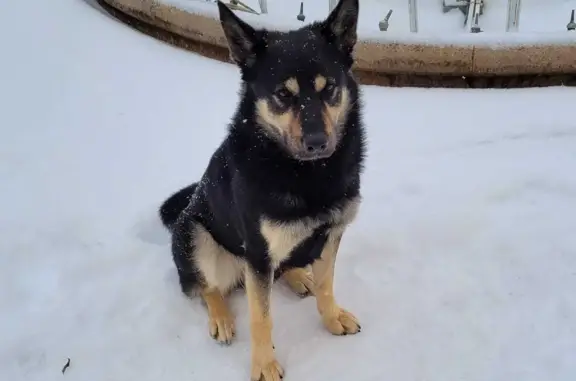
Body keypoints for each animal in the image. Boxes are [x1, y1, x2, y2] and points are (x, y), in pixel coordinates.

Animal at [159, 0, 364, 378]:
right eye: (283, 94)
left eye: (328, 88)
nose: (317, 142)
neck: (308, 174)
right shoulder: (257, 253)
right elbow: (261, 318)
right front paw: (264, 364)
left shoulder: (331, 233)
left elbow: (326, 285)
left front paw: (331, 317)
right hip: (195, 234)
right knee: (206, 286)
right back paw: (222, 318)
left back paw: (298, 276)